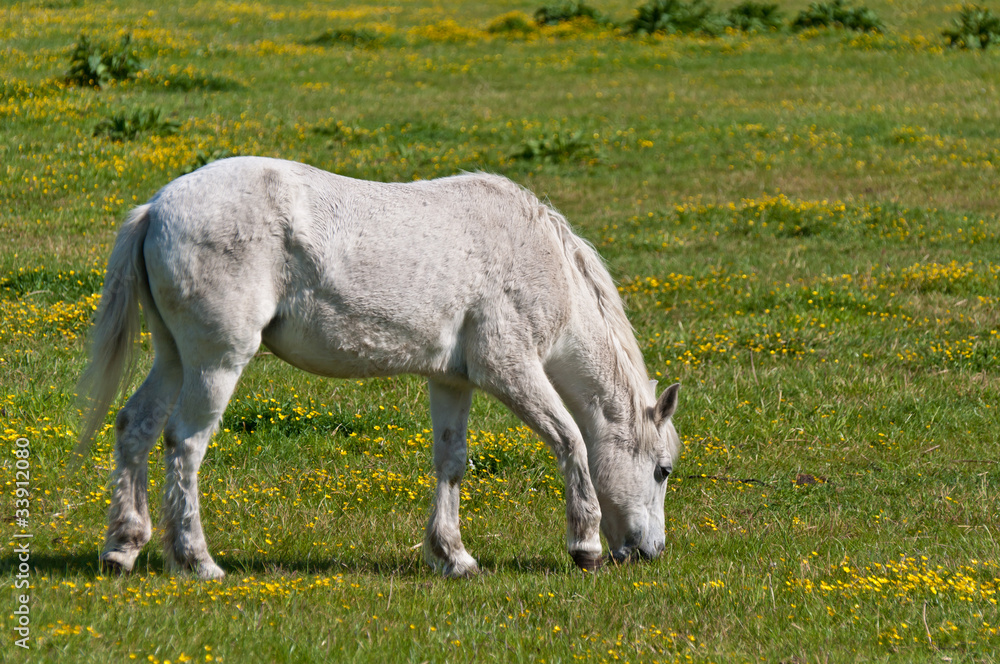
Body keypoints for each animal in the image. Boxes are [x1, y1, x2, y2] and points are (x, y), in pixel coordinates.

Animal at [76, 156, 682, 579]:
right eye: (662, 471)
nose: (651, 552)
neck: (537, 256)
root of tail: (156, 208)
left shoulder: (452, 380)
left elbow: (451, 463)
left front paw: (454, 556)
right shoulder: (510, 369)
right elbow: (571, 439)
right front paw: (585, 545)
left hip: (174, 357)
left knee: (136, 427)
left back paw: (122, 548)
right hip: (216, 361)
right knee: (185, 443)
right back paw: (198, 560)